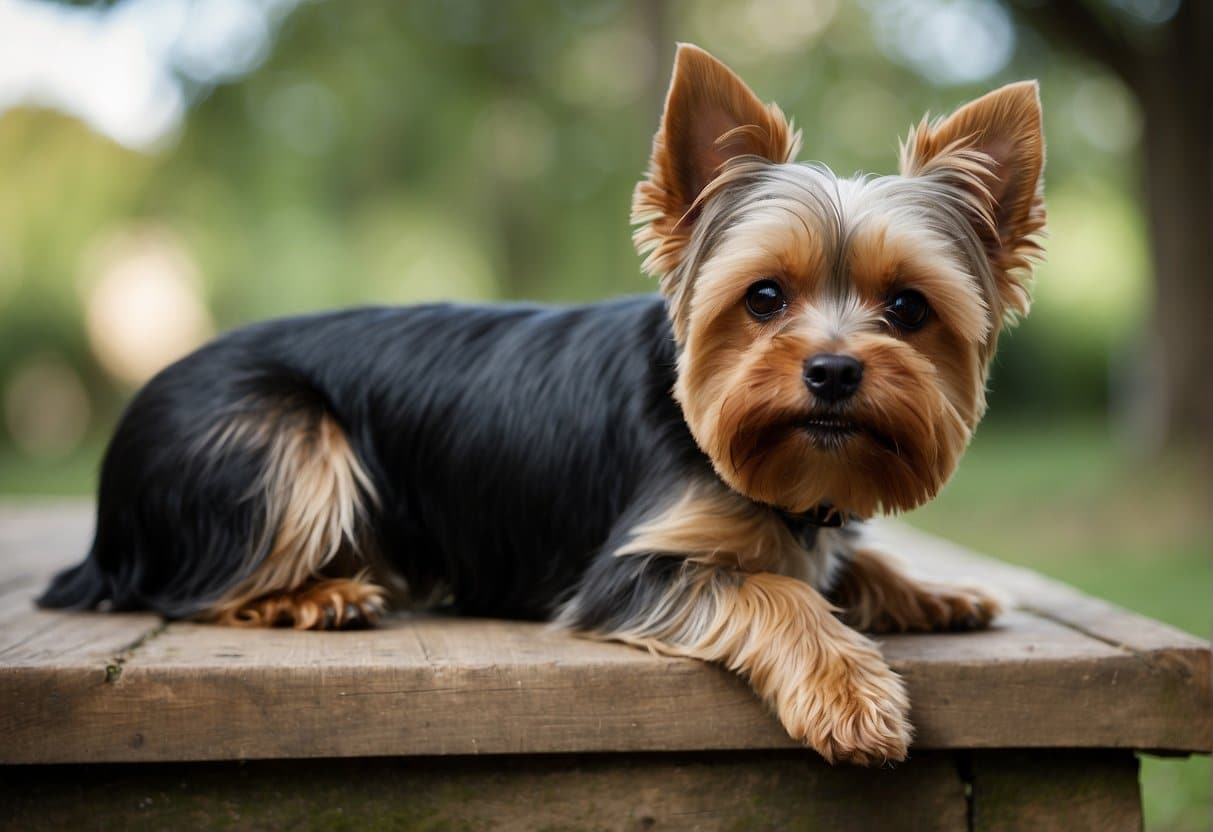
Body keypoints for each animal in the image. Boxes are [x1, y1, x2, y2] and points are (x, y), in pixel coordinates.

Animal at [37, 42, 1043, 766]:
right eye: (763, 298)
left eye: (906, 308)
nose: (833, 372)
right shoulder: (629, 571)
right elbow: (773, 589)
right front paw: (851, 694)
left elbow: (837, 563)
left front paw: (932, 591)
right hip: (285, 436)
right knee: (192, 587)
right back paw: (316, 596)